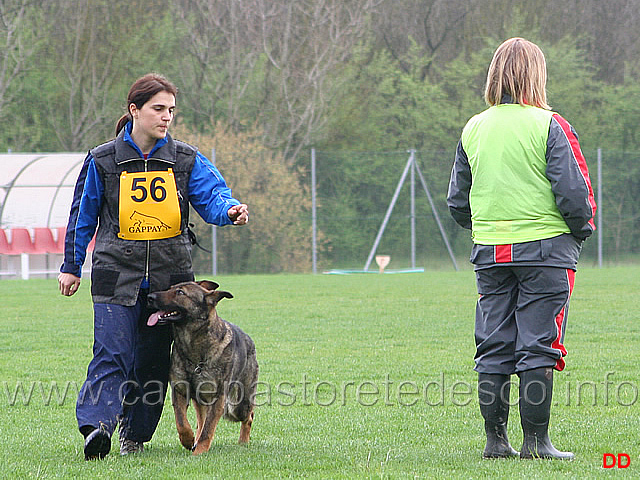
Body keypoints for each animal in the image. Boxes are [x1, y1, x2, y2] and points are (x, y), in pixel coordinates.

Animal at [148, 280, 258, 456]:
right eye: (170, 288)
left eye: (180, 292)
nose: (149, 297)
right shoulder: (180, 391)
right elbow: (182, 423)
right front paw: (188, 440)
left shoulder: (218, 399)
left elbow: (208, 429)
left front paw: (199, 451)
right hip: (202, 401)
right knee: (201, 421)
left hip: (238, 406)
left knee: (249, 416)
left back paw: (243, 442)